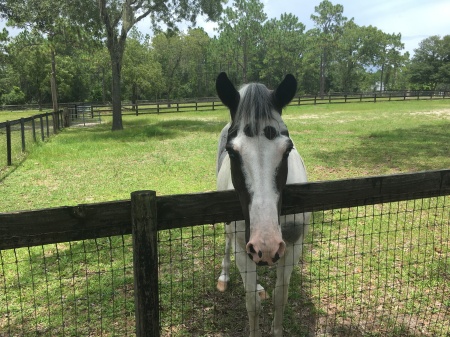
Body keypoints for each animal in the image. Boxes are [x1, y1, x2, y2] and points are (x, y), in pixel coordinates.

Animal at [214, 73, 310, 336]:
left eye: (287, 149)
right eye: (232, 152)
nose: (265, 246)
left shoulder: (293, 247)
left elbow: (280, 297)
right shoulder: (243, 249)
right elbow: (252, 304)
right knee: (227, 243)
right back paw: (225, 277)